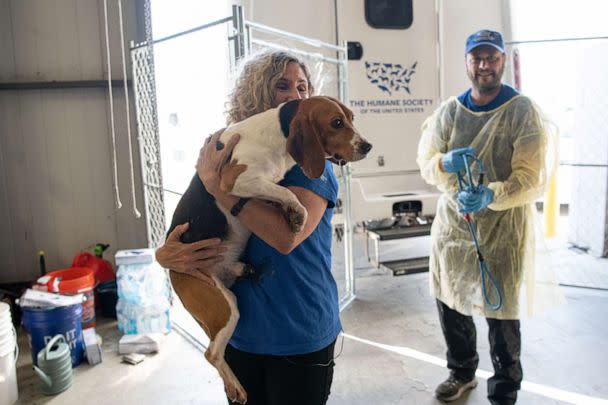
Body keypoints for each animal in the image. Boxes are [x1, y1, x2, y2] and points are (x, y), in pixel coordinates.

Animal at [169, 96, 372, 402]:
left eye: (351, 118)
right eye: (336, 123)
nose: (367, 146)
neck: (278, 138)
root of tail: (172, 272)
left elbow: (279, 192)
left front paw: (289, 211)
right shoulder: (235, 181)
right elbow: (286, 193)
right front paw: (297, 214)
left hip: (228, 300)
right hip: (224, 307)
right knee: (212, 354)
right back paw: (236, 387)